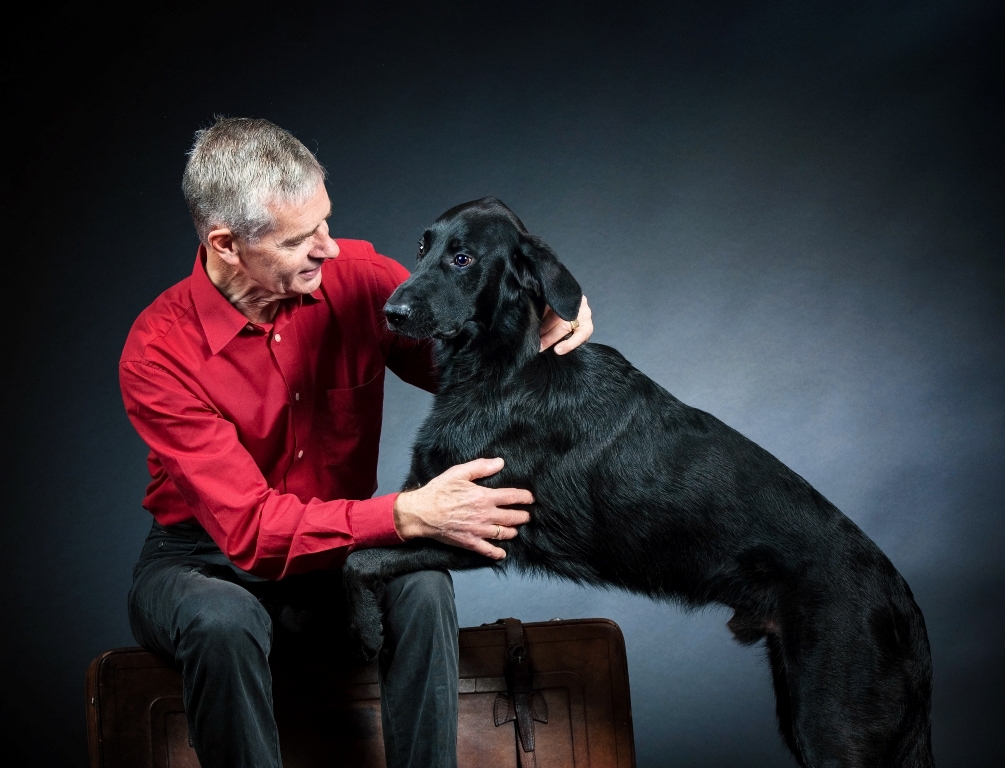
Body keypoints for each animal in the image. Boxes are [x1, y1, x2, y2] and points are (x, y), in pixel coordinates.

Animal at [343, 195, 932, 763]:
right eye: (422, 249)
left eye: (462, 258)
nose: (390, 312)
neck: (503, 367)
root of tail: (903, 597)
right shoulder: (430, 502)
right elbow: (363, 546)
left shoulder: (484, 533)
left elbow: (359, 558)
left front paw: (366, 631)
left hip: (831, 724)